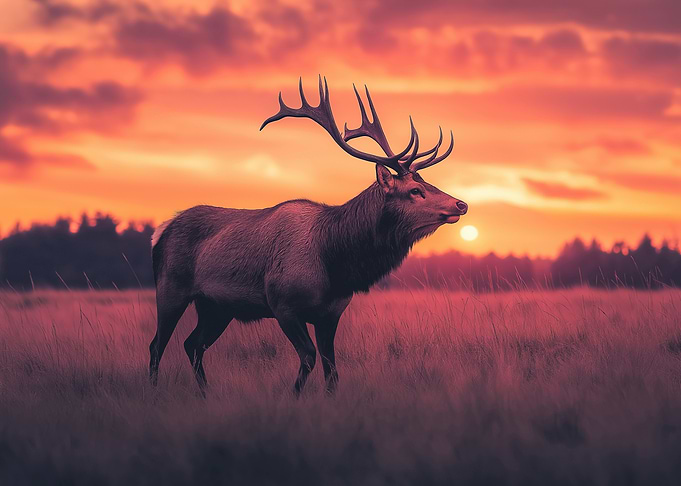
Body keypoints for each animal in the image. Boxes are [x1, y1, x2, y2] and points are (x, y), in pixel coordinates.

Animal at [149, 77, 468, 395]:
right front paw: (292, 396)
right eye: (415, 190)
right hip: (170, 288)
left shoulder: (331, 313)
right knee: (157, 345)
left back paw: (206, 394)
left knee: (193, 344)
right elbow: (309, 356)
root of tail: (161, 231)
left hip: (216, 306)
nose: (460, 204)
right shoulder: (283, 305)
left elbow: (332, 369)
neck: (335, 265)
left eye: (427, 183)